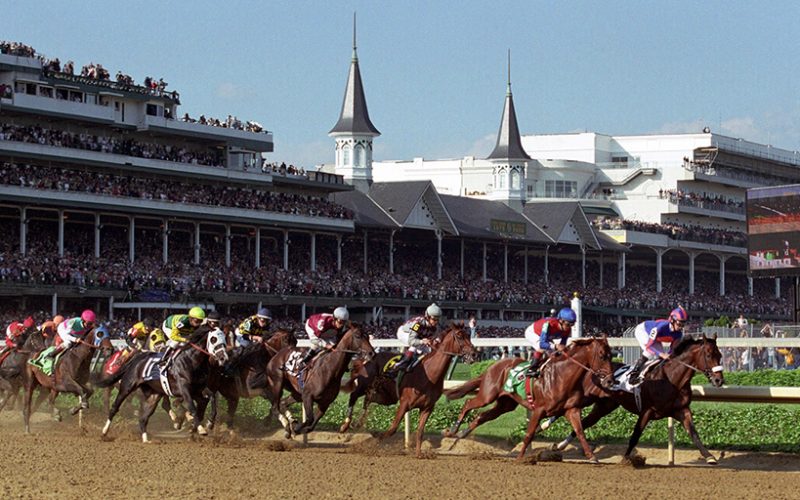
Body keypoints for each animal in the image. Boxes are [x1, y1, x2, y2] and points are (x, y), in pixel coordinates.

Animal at [99, 328, 228, 442]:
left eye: (225, 340)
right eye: (213, 339)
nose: (223, 358)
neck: (191, 361)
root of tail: (135, 360)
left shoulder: (198, 389)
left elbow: (211, 397)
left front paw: (209, 423)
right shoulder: (184, 389)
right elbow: (192, 407)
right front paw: (200, 429)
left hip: (153, 396)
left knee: (143, 418)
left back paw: (146, 439)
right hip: (126, 387)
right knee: (114, 407)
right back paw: (104, 431)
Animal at [340, 324, 478, 458]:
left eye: (468, 335)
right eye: (460, 336)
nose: (474, 353)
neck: (429, 375)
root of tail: (367, 358)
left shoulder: (427, 408)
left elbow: (420, 431)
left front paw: (418, 454)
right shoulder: (404, 403)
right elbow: (392, 428)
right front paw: (374, 442)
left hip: (384, 396)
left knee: (367, 400)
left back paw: (357, 423)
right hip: (365, 385)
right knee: (354, 395)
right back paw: (345, 425)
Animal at [444, 338, 612, 462]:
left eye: (610, 355)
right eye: (602, 355)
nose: (611, 380)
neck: (562, 377)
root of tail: (492, 367)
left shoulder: (571, 410)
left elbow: (580, 431)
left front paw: (592, 456)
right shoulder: (538, 410)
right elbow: (529, 433)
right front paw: (520, 458)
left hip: (506, 404)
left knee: (482, 416)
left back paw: (463, 433)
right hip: (487, 395)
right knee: (468, 403)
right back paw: (453, 430)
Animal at [552, 334, 728, 462]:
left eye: (720, 354)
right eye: (708, 354)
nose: (719, 380)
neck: (671, 379)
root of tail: (592, 370)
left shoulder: (682, 410)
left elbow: (694, 433)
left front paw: (709, 456)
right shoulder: (647, 410)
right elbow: (635, 435)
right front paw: (625, 459)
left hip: (605, 406)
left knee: (585, 422)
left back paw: (560, 445)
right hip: (587, 399)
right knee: (565, 412)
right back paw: (552, 434)